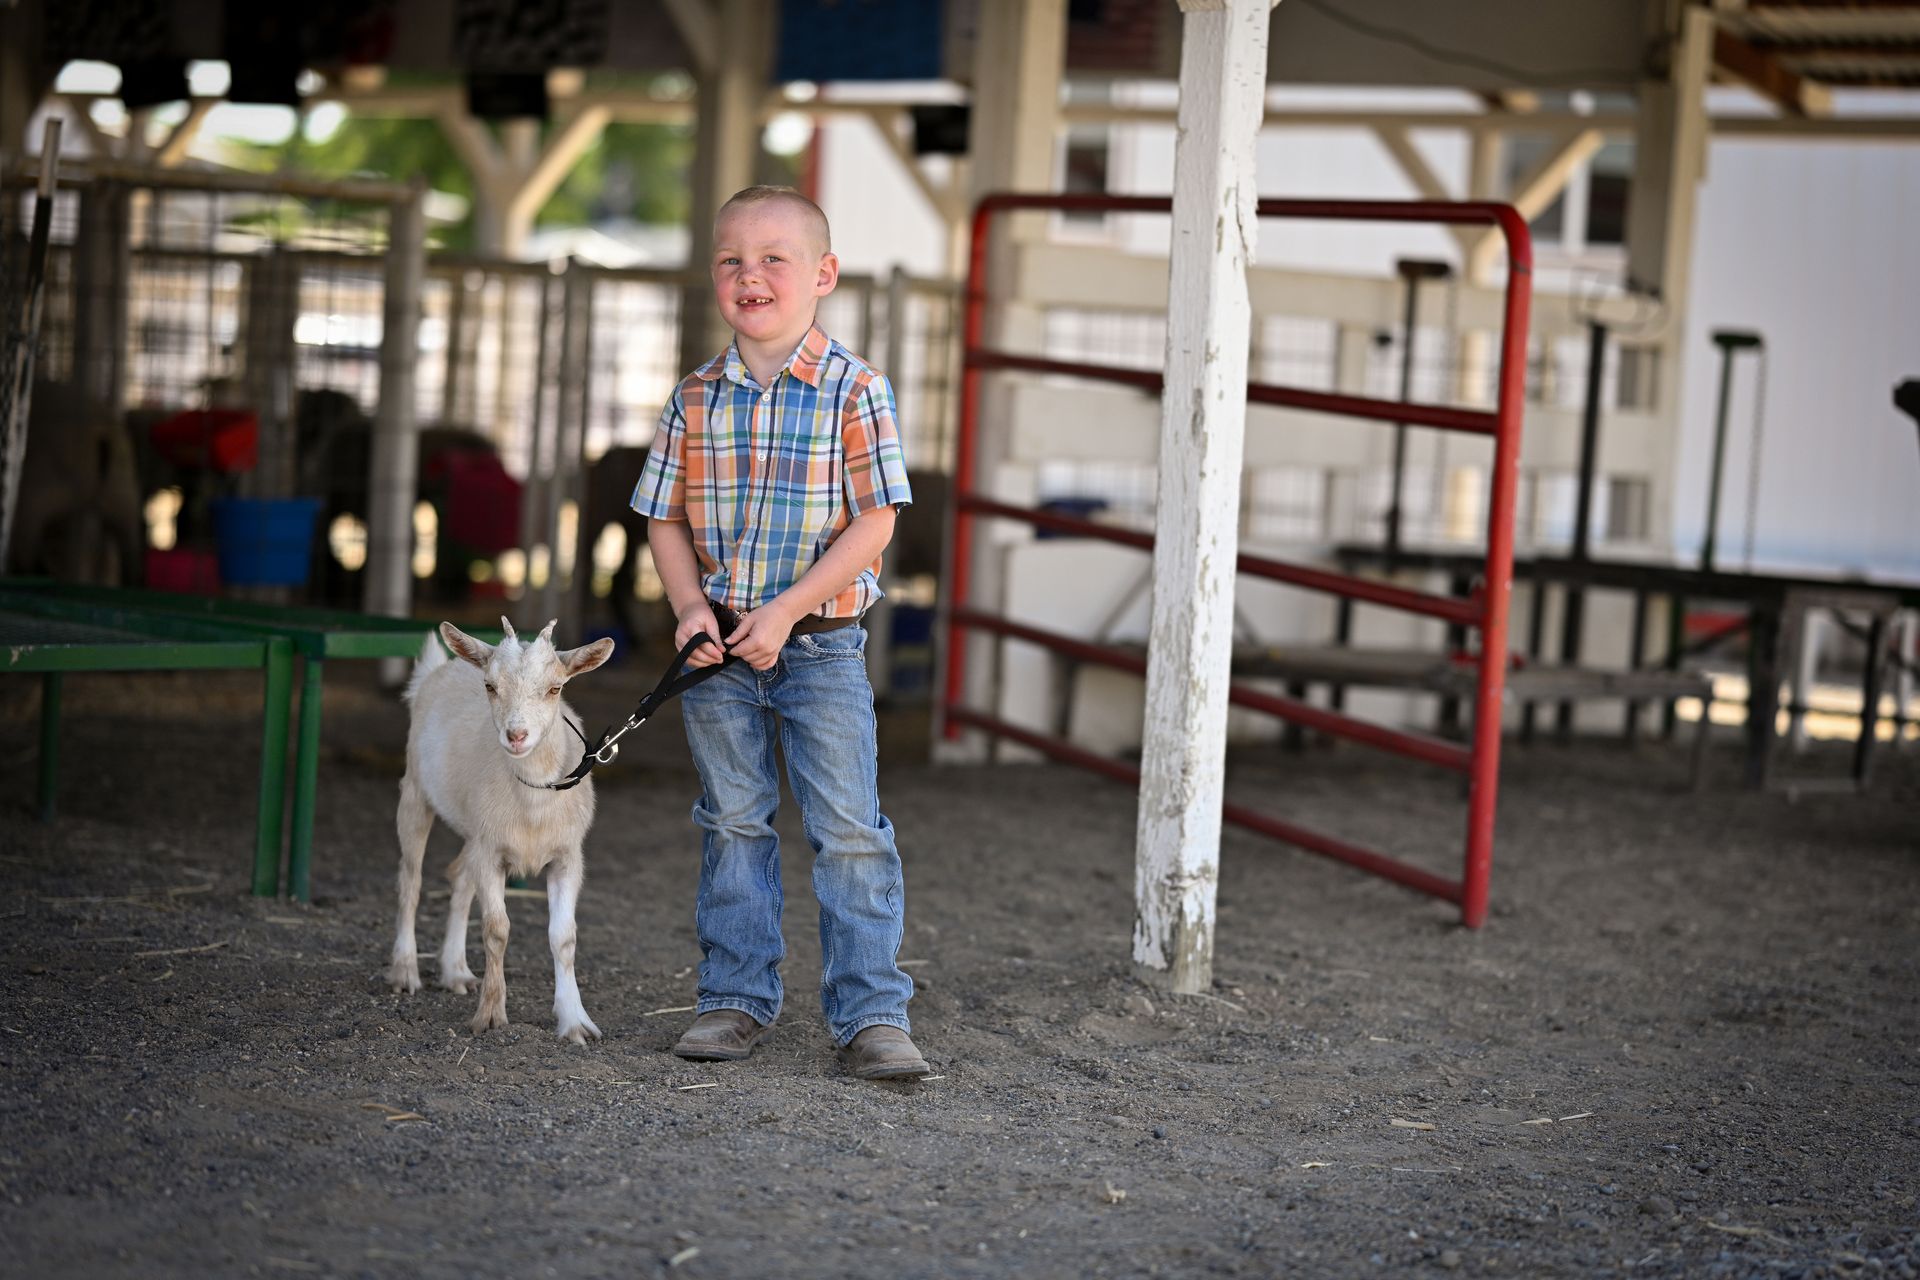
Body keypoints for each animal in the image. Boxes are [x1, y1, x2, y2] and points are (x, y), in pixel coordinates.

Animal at [382, 614, 606, 1043]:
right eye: (489, 686)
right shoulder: (491, 854)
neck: (533, 803)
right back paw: (404, 970)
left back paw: (454, 971)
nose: (516, 736)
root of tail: (440, 668)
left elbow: (564, 937)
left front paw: (574, 1021)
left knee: (458, 876)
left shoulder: (567, 857)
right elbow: (496, 929)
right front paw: (490, 1015)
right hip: (415, 793)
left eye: (555, 688)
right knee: (409, 881)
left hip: (473, 827)